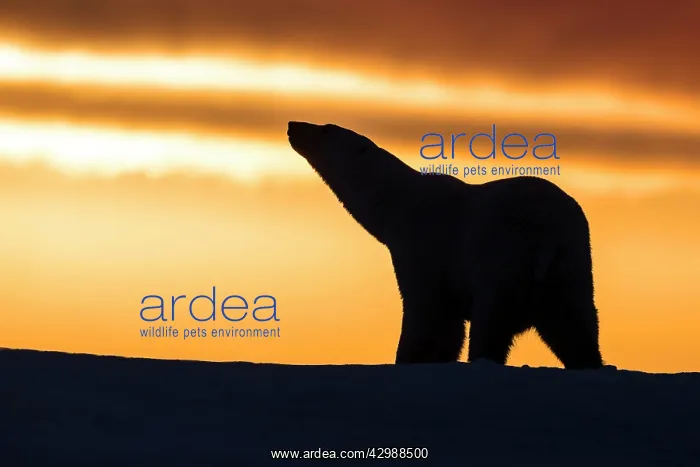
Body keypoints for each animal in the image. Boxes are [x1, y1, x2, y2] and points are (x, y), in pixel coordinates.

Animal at [287, 121, 604, 369]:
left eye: (326, 128)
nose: (293, 125)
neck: (399, 203)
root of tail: (546, 233)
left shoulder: (423, 248)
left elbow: (430, 315)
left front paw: (410, 359)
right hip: (571, 262)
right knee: (574, 324)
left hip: (504, 256)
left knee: (492, 321)